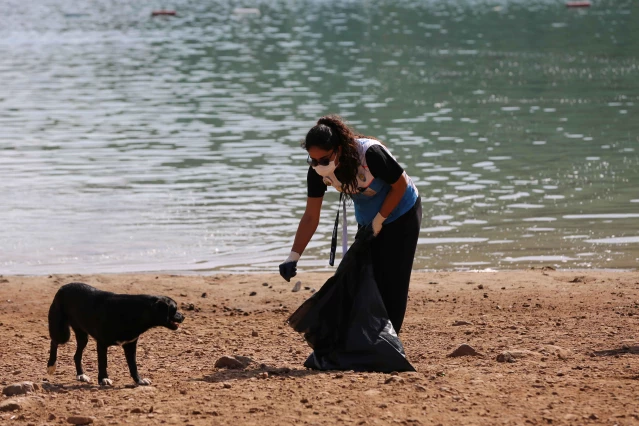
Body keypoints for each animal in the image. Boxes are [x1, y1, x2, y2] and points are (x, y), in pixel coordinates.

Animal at [46, 282, 182, 386]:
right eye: (174, 309)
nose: (183, 316)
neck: (135, 311)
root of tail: (63, 287)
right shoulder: (102, 343)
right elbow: (103, 362)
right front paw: (103, 379)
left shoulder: (130, 345)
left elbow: (133, 365)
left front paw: (139, 380)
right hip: (62, 332)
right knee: (54, 341)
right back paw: (51, 366)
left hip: (82, 336)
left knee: (76, 355)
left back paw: (81, 375)